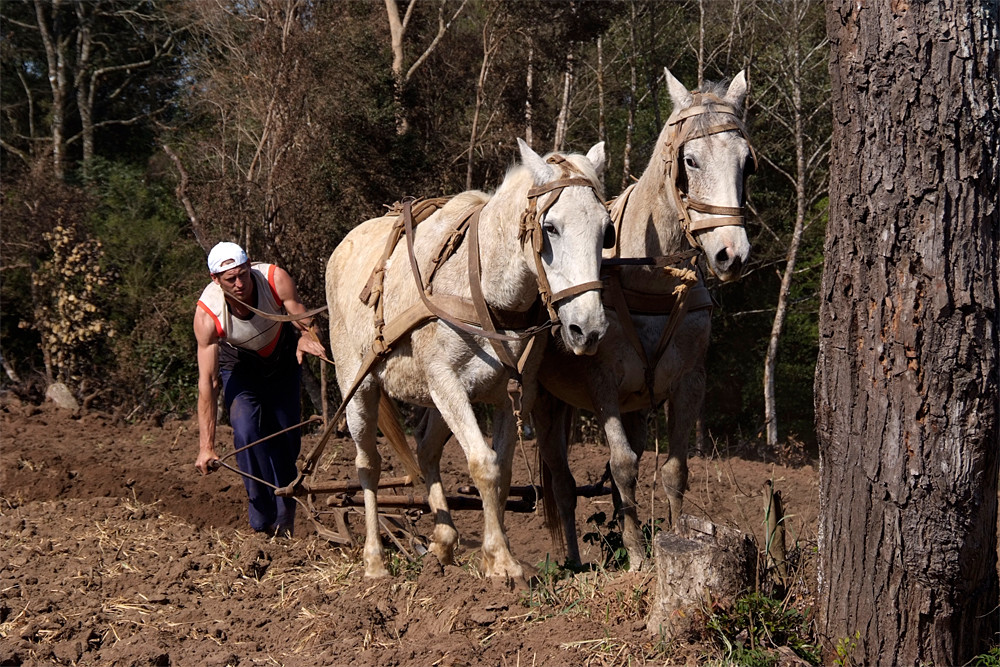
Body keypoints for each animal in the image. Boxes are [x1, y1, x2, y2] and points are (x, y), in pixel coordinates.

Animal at [326, 140, 608, 580]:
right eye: (551, 228)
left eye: (606, 229)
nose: (588, 328)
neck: (486, 292)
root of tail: (342, 248)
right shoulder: (448, 384)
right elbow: (482, 464)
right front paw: (502, 562)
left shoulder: (514, 393)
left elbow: (502, 471)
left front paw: (494, 554)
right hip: (359, 387)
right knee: (367, 464)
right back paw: (374, 560)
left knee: (425, 450)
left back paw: (443, 543)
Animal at [536, 66, 752, 568]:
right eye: (690, 160)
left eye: (747, 162)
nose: (731, 254)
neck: (653, 281)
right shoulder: (603, 384)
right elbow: (622, 467)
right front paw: (636, 556)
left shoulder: (690, 380)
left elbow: (674, 469)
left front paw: (676, 536)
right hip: (546, 403)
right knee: (562, 484)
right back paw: (573, 559)